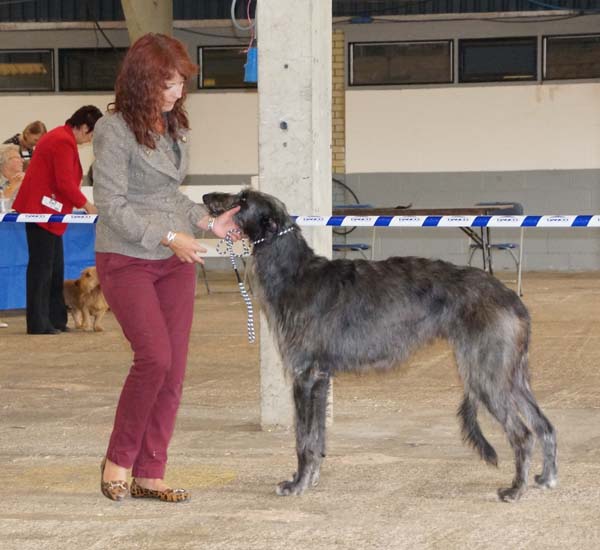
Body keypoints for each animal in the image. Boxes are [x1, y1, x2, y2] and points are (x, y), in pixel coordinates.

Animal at [205, 190, 556, 504]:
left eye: (242, 200)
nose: (207, 197)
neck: (294, 273)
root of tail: (511, 298)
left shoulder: (303, 376)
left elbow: (302, 438)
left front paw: (296, 484)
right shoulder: (320, 378)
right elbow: (317, 436)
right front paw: (311, 478)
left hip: (486, 375)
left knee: (523, 434)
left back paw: (516, 489)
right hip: (511, 374)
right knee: (544, 425)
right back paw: (546, 478)